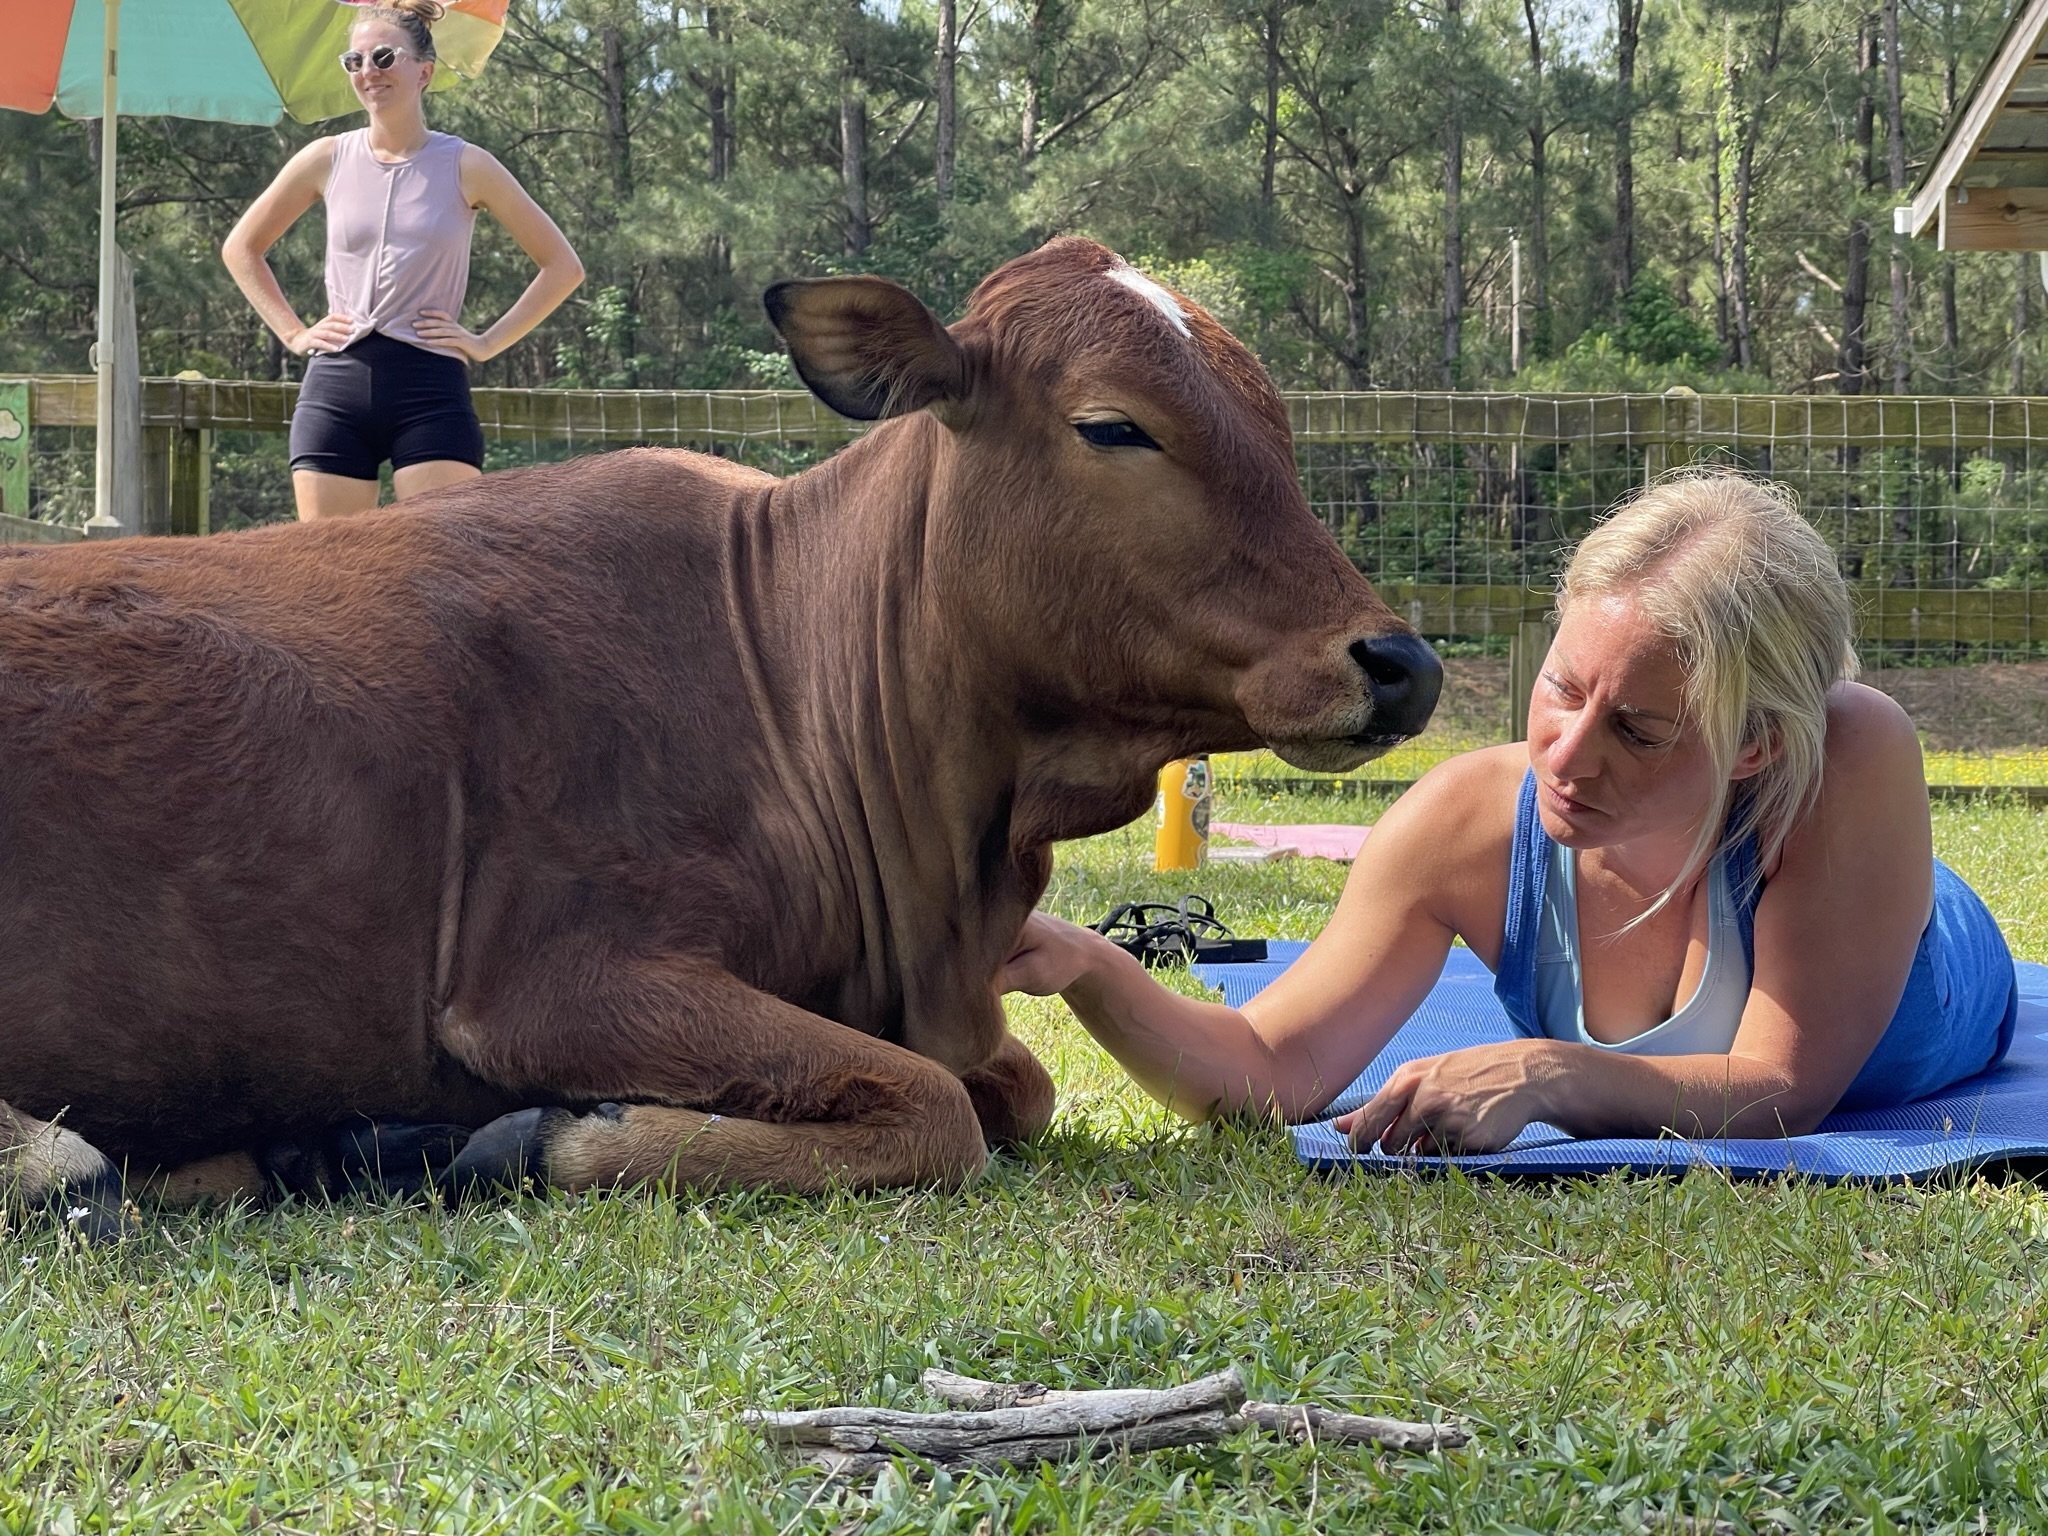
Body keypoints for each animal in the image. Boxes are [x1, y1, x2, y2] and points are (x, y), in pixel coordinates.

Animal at [0, 237, 1439, 1229]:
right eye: (1112, 425)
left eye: (1278, 423)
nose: (1399, 661)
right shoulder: (547, 982)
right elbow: (935, 1113)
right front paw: (549, 1138)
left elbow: (1010, 1090)